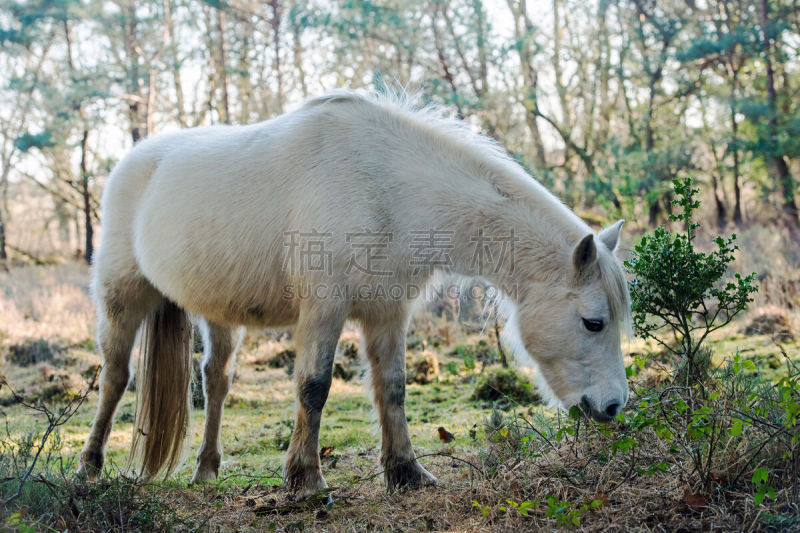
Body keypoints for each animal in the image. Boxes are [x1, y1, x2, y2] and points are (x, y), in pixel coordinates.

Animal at [79, 92, 632, 498]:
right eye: (593, 322)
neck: (388, 187)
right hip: (121, 298)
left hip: (220, 315)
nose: (612, 407)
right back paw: (89, 465)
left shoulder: (387, 311)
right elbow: (314, 386)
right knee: (115, 378)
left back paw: (207, 470)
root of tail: (133, 161)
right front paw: (306, 479)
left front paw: (407, 473)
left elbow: (393, 387)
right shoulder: (325, 308)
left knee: (215, 381)